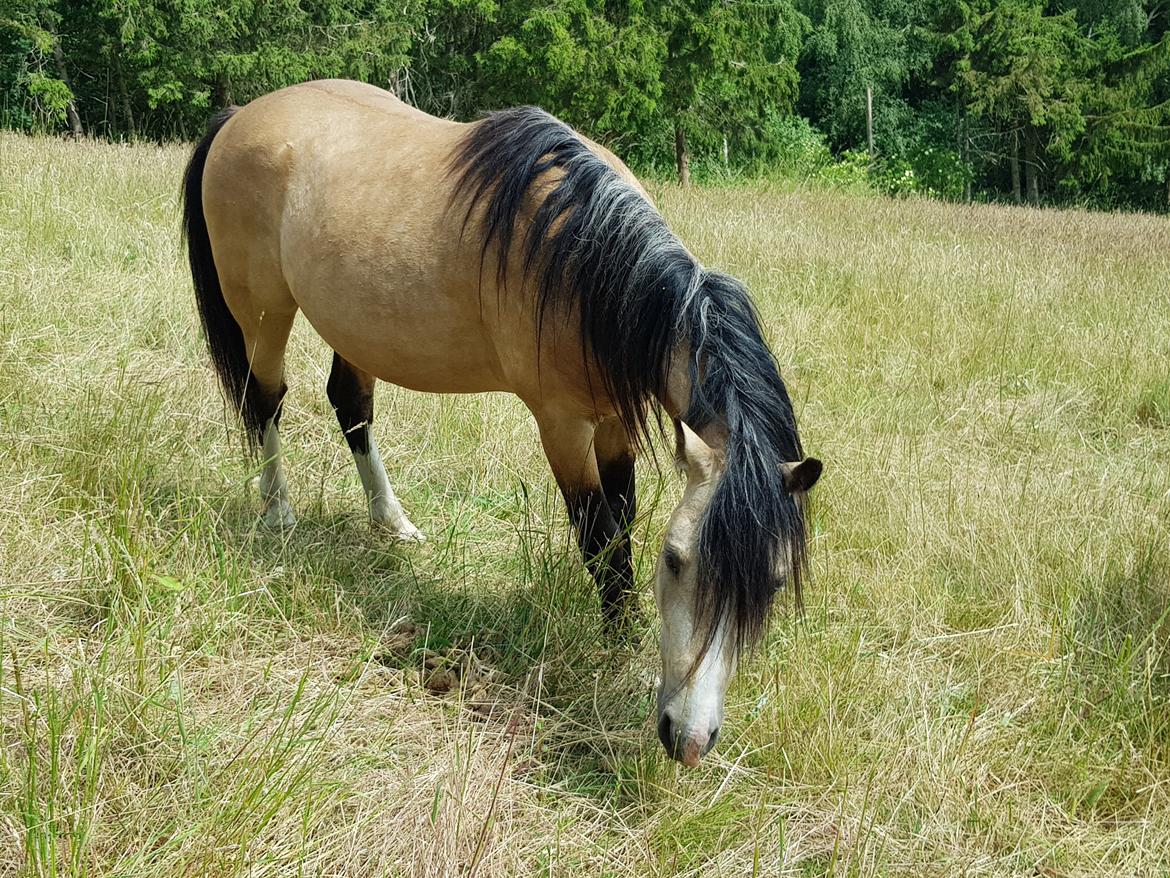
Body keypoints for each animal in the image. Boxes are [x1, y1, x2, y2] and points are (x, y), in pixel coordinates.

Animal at [181, 79, 822, 767]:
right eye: (677, 561)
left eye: (773, 583)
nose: (689, 740)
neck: (587, 257)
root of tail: (240, 116)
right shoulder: (563, 426)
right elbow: (599, 538)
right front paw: (613, 641)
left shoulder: (613, 422)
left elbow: (621, 525)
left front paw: (622, 633)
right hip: (263, 314)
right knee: (265, 401)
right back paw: (278, 510)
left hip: (352, 329)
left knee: (351, 408)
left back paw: (393, 520)